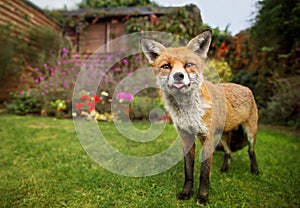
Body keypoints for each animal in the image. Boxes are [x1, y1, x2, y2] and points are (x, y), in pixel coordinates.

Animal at [141, 29, 258, 206]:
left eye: (188, 65)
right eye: (166, 66)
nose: (178, 76)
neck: (188, 112)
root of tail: (247, 88)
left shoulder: (206, 137)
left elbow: (204, 174)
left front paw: (202, 197)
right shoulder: (186, 137)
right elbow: (189, 171)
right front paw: (186, 193)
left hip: (250, 133)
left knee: (251, 151)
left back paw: (255, 171)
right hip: (223, 136)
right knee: (228, 152)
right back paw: (224, 169)